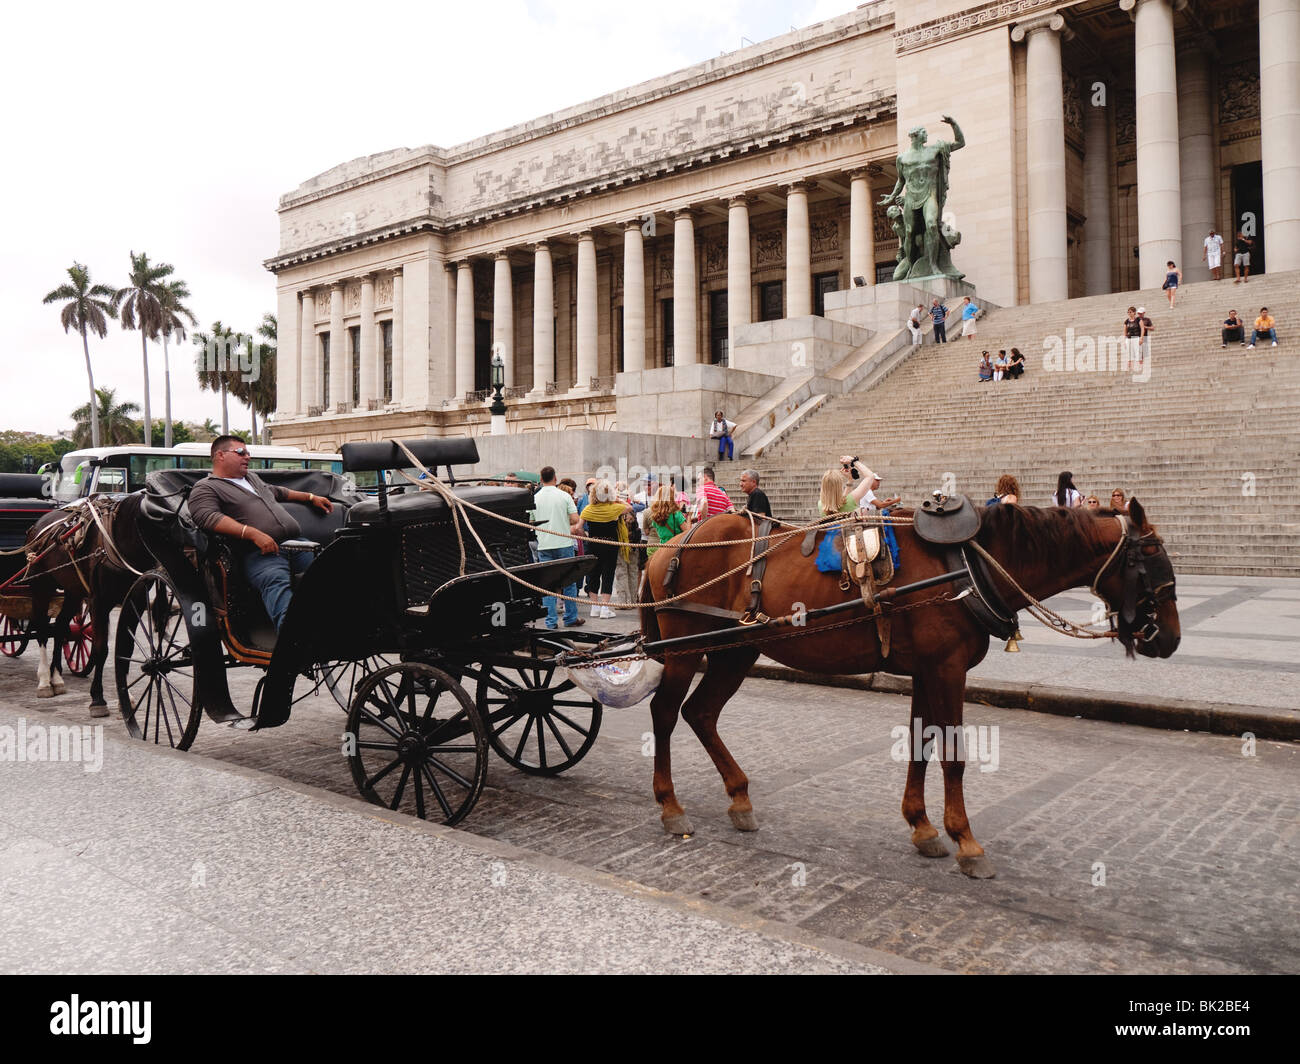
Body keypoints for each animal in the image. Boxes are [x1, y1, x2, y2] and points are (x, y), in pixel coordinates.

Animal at [639, 496, 1180, 879]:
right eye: (1153, 558)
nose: (1171, 638)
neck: (966, 563)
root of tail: (672, 544)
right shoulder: (947, 668)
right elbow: (954, 754)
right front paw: (966, 841)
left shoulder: (926, 669)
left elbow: (921, 743)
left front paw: (923, 826)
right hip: (686, 648)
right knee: (665, 713)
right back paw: (671, 805)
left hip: (736, 650)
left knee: (701, 714)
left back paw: (739, 798)